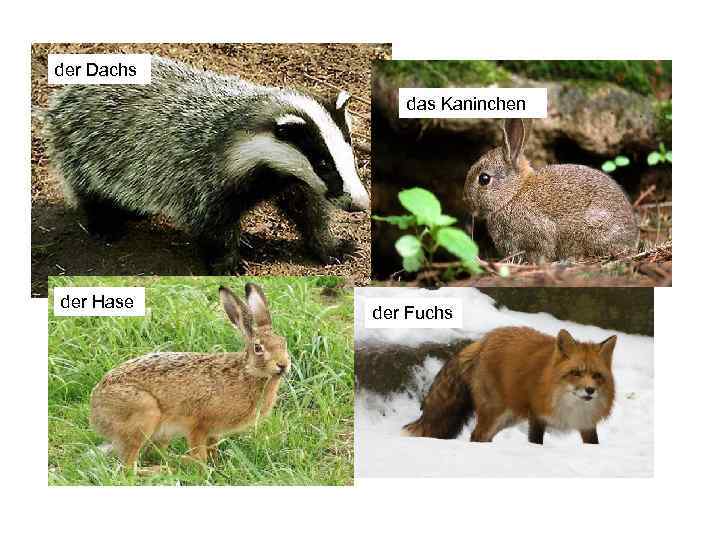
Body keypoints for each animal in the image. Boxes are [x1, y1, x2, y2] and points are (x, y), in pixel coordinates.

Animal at [89, 283, 289, 471]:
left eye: (283, 343)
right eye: (258, 348)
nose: (283, 365)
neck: (247, 372)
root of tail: (95, 409)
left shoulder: (213, 432)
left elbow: (212, 449)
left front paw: (217, 465)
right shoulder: (198, 425)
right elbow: (200, 455)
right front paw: (203, 471)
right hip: (144, 415)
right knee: (128, 468)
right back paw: (162, 470)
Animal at [402, 326, 617, 445]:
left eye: (597, 376)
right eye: (576, 373)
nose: (590, 390)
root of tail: (484, 340)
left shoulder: (587, 425)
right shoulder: (537, 417)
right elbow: (536, 443)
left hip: (509, 417)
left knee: (481, 437)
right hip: (495, 413)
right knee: (477, 435)